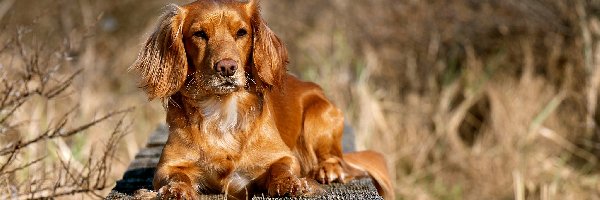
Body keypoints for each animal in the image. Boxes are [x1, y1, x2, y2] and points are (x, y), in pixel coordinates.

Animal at [131, 0, 394, 198]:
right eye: (199, 34)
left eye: (241, 32)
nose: (227, 68)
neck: (222, 109)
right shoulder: (167, 167)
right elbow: (176, 176)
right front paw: (175, 190)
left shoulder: (283, 156)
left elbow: (282, 168)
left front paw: (290, 183)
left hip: (318, 116)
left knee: (336, 158)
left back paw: (327, 169)